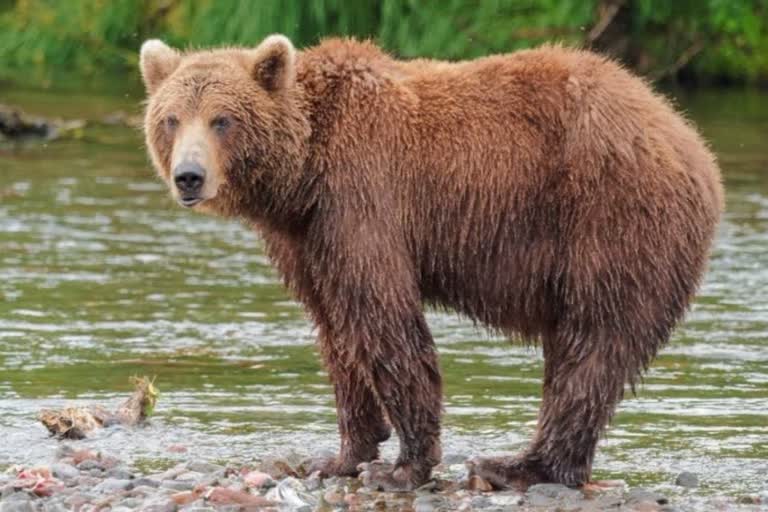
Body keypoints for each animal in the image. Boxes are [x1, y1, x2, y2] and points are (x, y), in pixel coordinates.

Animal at [140, 34, 728, 490]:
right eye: (171, 119)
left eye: (222, 120)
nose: (189, 177)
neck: (302, 174)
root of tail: (691, 141)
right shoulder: (306, 238)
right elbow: (335, 330)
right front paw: (340, 455)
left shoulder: (362, 196)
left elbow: (383, 319)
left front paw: (403, 466)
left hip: (611, 218)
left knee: (592, 345)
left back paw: (516, 465)